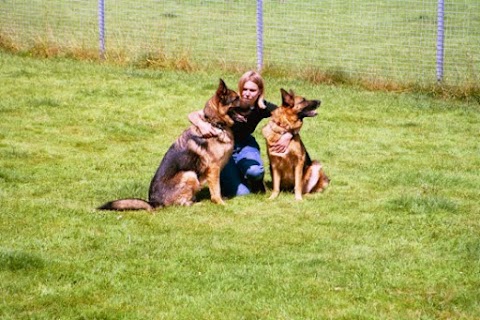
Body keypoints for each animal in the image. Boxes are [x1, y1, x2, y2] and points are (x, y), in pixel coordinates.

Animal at [98, 79, 240, 211]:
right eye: (236, 99)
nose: (247, 104)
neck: (215, 123)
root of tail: (153, 202)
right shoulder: (214, 168)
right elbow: (216, 189)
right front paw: (220, 203)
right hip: (189, 175)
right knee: (182, 204)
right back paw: (197, 204)